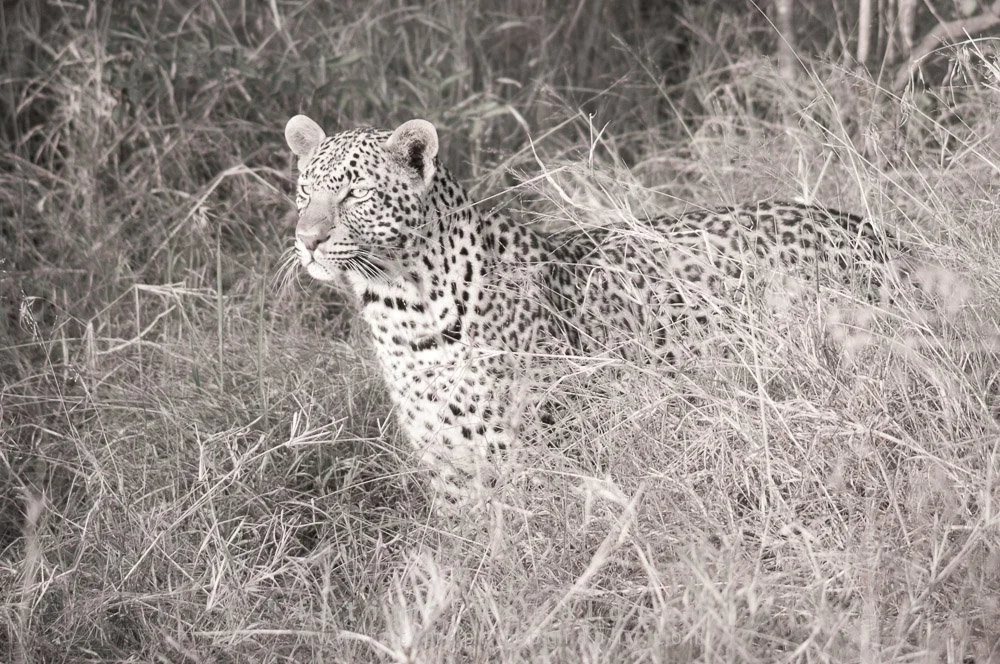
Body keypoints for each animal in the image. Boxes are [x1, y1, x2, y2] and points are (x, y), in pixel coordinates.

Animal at [283, 113, 961, 509]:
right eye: (303, 192)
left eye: (354, 195)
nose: (307, 239)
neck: (400, 310)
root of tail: (881, 236)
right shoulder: (449, 467)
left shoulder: (525, 455)